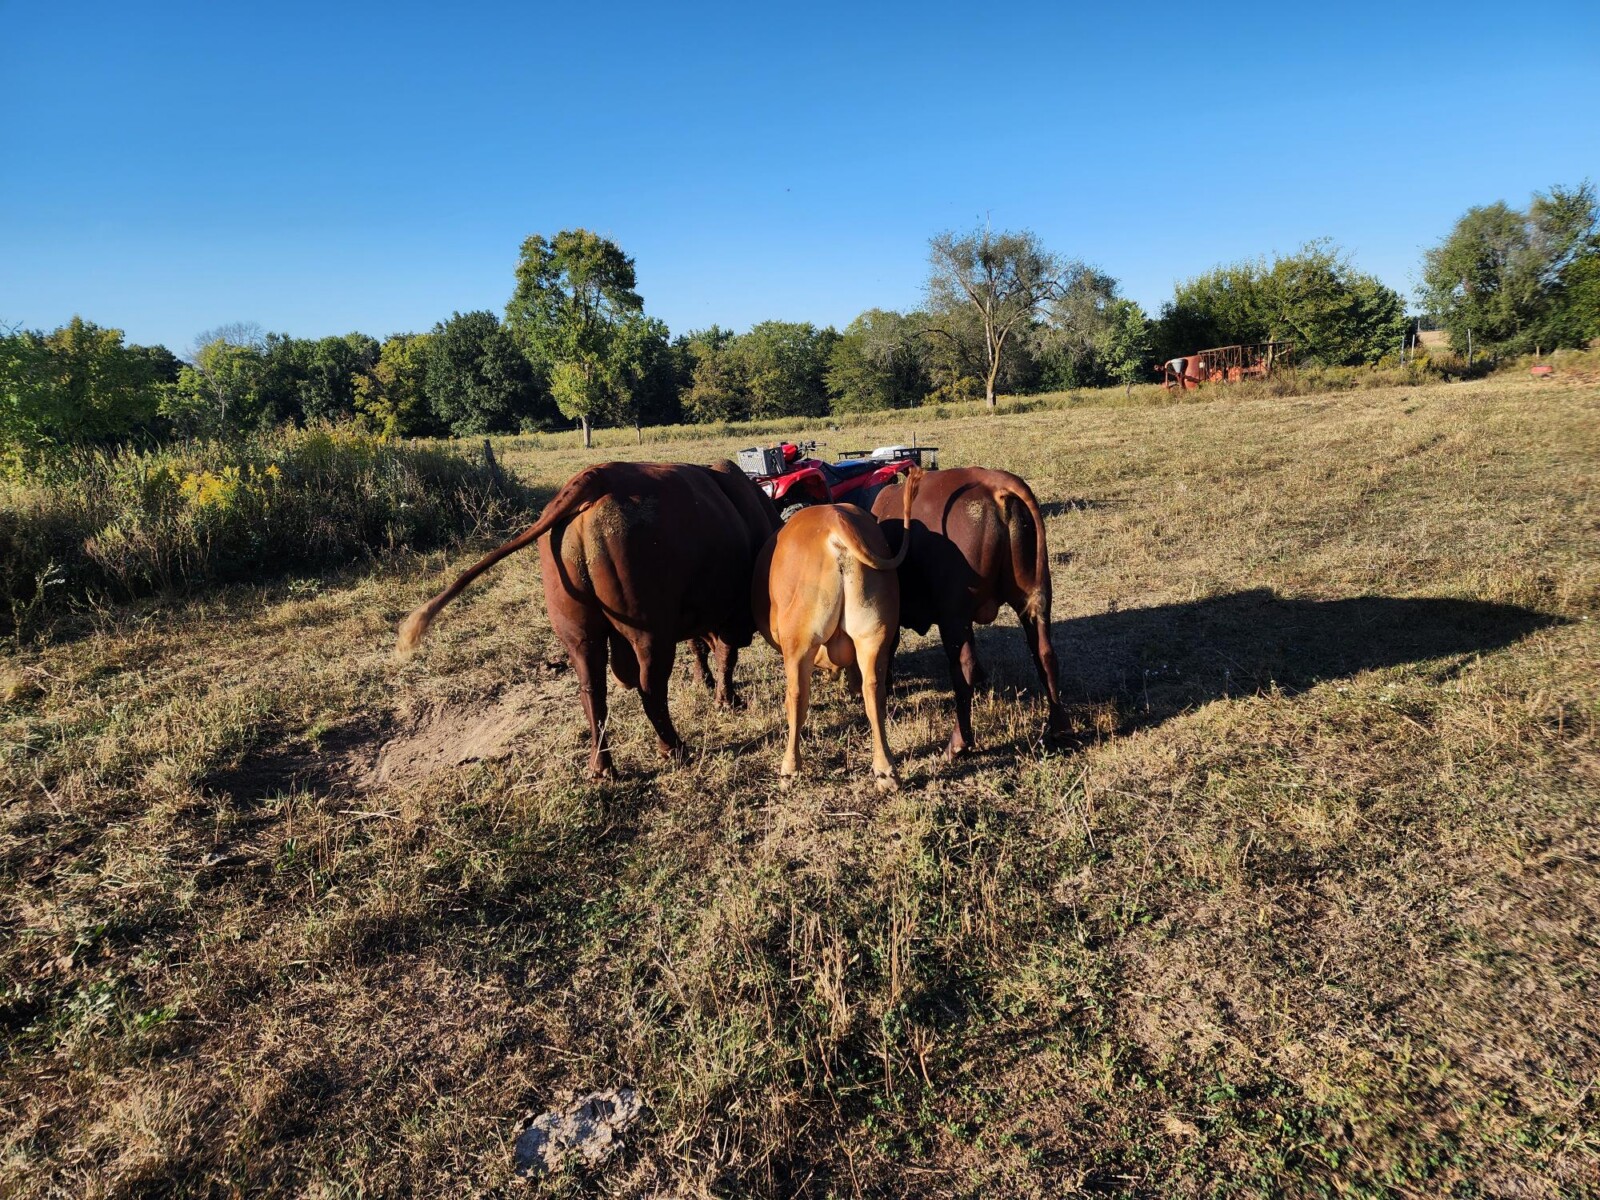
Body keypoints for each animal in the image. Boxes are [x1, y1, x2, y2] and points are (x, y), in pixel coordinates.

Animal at [396, 460, 780, 778]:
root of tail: (596, 478)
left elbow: (701, 647)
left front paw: (706, 683)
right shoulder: (730, 616)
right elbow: (726, 656)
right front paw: (727, 699)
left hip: (580, 635)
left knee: (591, 693)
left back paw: (602, 767)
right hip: (648, 634)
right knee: (650, 689)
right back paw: (673, 748)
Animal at [754, 467, 923, 792]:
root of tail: (835, 521)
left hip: (799, 642)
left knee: (797, 696)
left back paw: (789, 768)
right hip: (873, 635)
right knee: (874, 693)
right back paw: (886, 770)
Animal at [870, 467, 1066, 755]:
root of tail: (994, 485)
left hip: (953, 617)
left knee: (964, 668)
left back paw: (958, 744)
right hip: (1035, 602)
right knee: (1045, 655)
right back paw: (1060, 727)